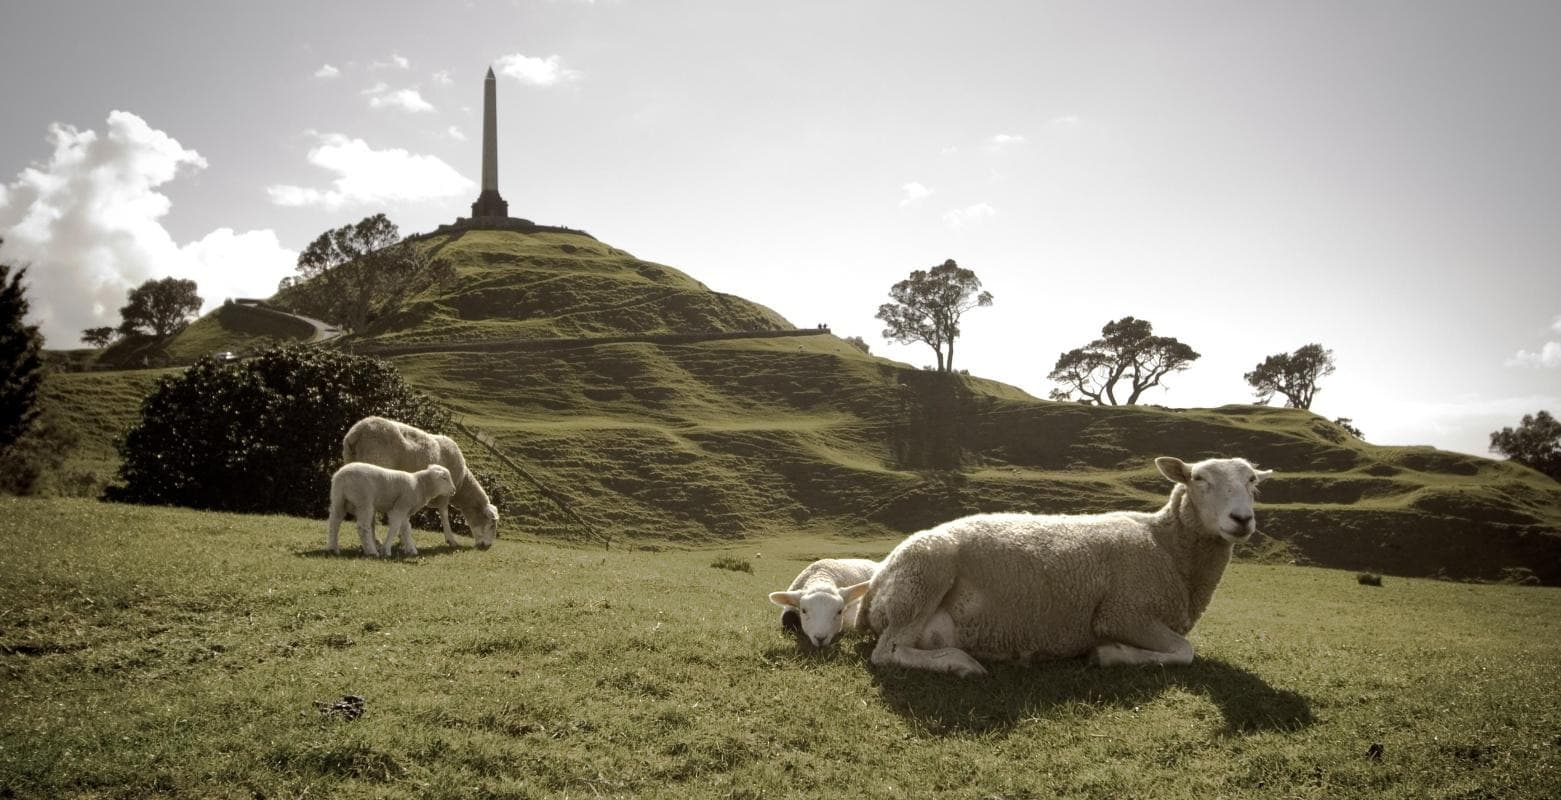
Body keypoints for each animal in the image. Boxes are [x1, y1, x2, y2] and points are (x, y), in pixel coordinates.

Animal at [326, 462, 455, 556]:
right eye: (444, 478)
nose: (454, 490)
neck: (420, 486)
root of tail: (342, 475)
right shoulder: (400, 506)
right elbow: (395, 528)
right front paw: (386, 550)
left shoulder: (405, 510)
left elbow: (406, 529)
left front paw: (411, 549)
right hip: (363, 501)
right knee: (363, 527)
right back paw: (372, 551)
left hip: (338, 498)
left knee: (334, 522)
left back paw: (333, 548)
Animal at [343, 415, 499, 546]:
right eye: (492, 524)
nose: (487, 546)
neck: (462, 485)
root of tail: (357, 432)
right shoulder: (444, 493)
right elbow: (444, 514)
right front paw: (451, 540)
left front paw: (402, 538)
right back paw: (374, 539)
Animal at [861, 456, 1273, 675]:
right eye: (1199, 478)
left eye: (1253, 480)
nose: (1242, 519)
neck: (1165, 545)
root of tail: (878, 579)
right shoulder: (1122, 612)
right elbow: (1185, 651)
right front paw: (1109, 654)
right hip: (924, 576)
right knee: (887, 652)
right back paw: (961, 663)